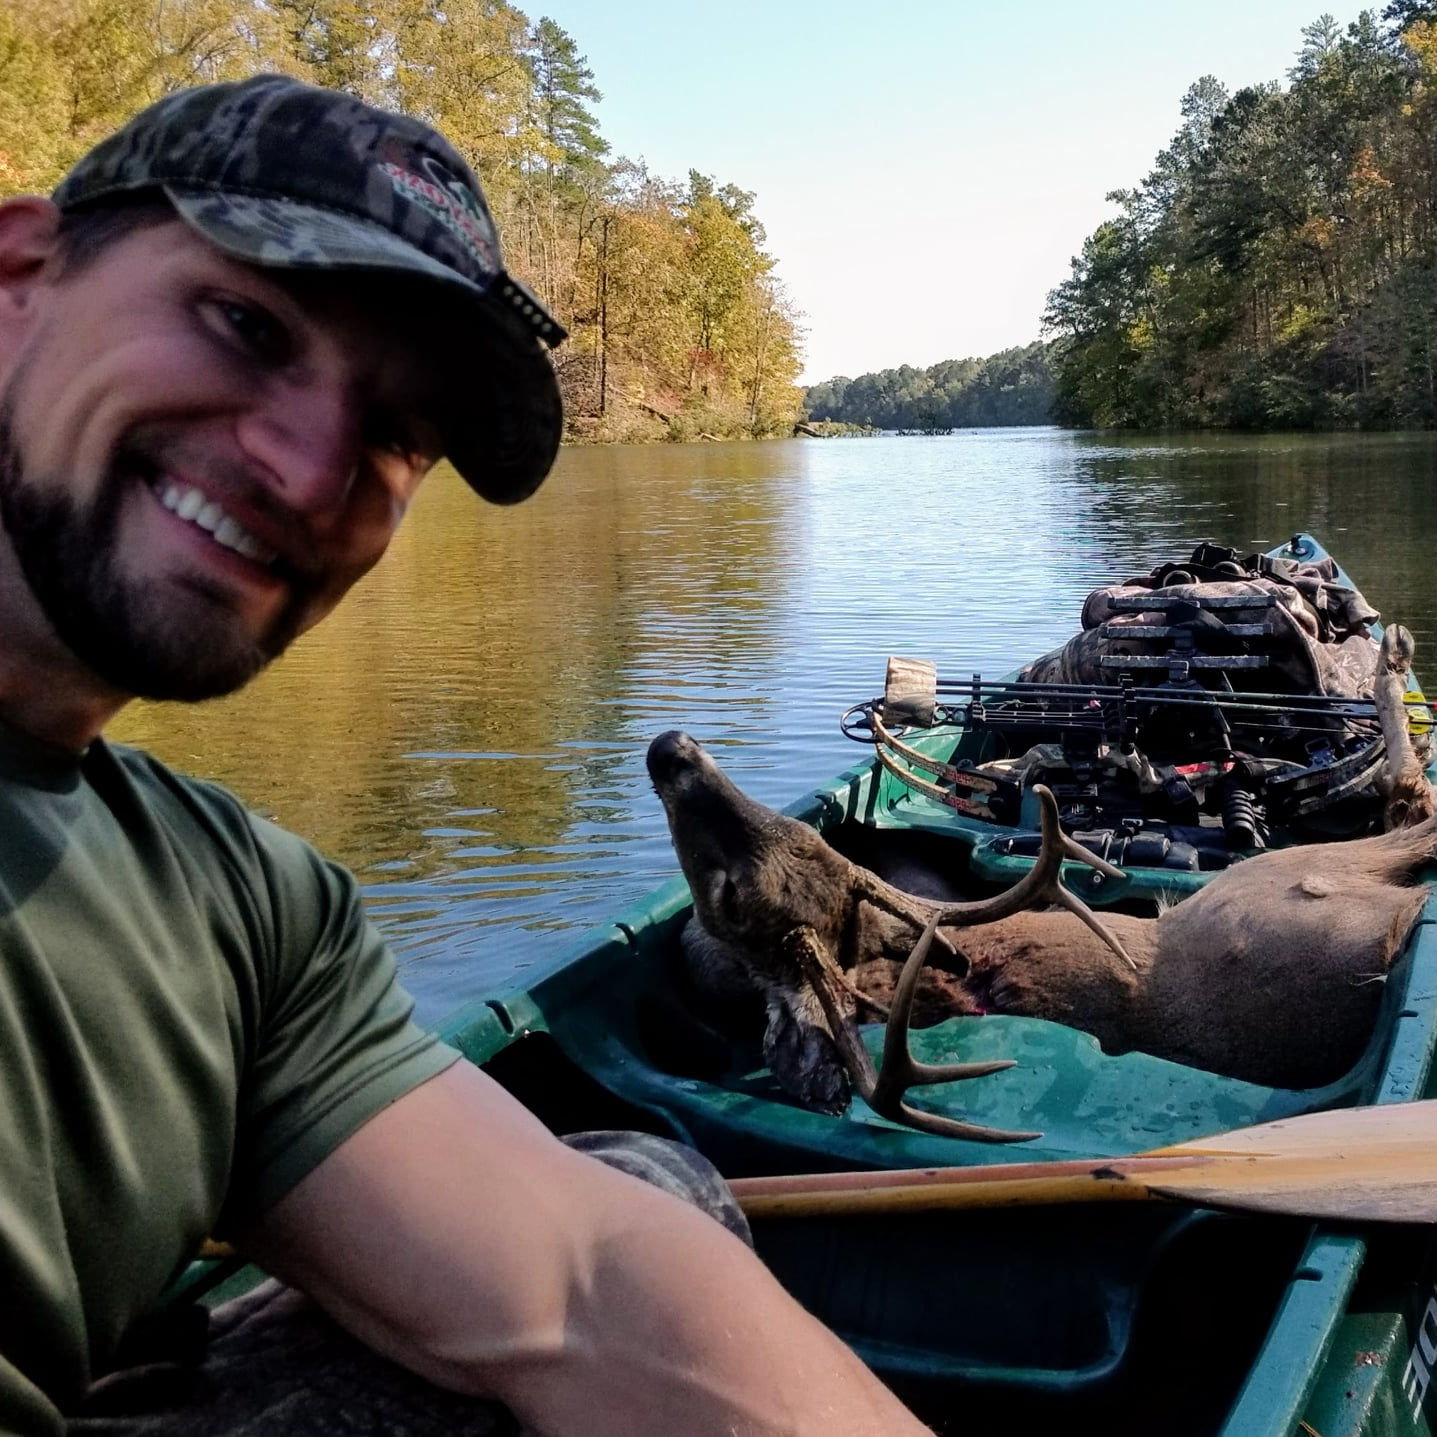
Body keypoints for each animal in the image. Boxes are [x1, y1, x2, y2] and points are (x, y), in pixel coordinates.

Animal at [652, 623, 1437, 1138]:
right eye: (727, 897)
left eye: (811, 839)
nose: (670, 747)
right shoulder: (1310, 874)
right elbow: (1409, 793)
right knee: (1402, 780)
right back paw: (1392, 653)